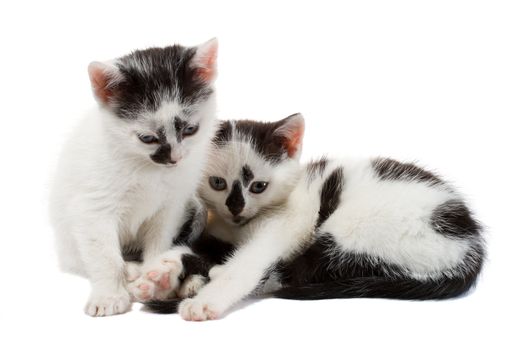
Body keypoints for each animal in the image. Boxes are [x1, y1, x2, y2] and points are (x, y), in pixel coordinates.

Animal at [50, 39, 218, 318]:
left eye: (191, 129)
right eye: (147, 138)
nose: (175, 159)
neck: (148, 168)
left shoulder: (172, 205)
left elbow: (160, 241)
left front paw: (158, 278)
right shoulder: (92, 209)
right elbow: (104, 256)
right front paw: (108, 296)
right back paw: (129, 272)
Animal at [131, 113, 484, 320]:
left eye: (258, 186)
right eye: (218, 183)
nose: (236, 207)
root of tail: (471, 242)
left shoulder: (284, 227)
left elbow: (247, 265)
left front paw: (199, 295)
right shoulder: (219, 234)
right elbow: (199, 248)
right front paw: (159, 270)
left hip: (358, 229)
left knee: (297, 273)